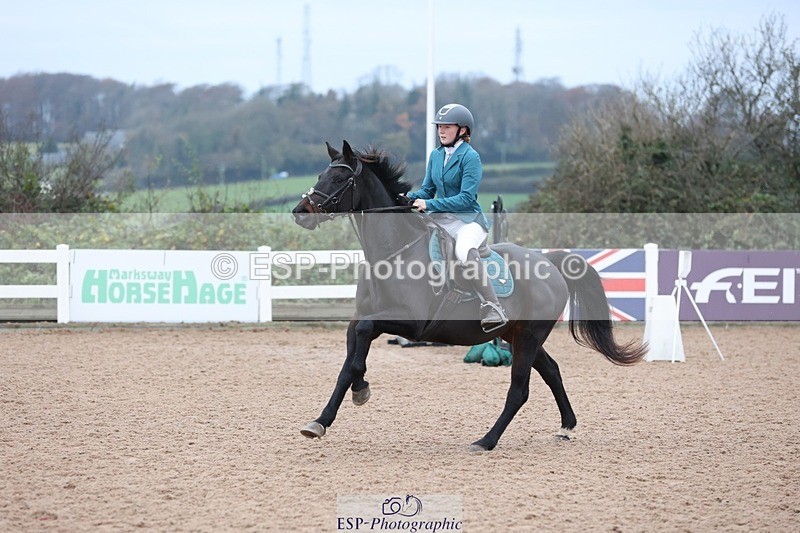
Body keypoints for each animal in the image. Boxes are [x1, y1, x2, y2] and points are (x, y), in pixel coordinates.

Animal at [291, 140, 645, 451]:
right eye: (321, 175)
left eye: (340, 179)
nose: (300, 211)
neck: (394, 252)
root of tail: (549, 263)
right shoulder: (360, 319)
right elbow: (348, 364)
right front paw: (323, 419)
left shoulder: (411, 322)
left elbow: (362, 343)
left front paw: (360, 390)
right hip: (519, 335)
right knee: (552, 371)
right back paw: (566, 427)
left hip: (529, 336)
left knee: (520, 390)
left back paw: (486, 441)